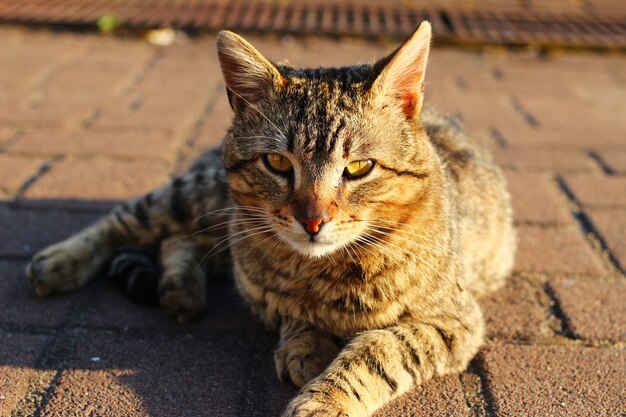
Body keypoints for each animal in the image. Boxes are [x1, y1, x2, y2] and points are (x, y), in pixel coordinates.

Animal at [25, 22, 512, 416]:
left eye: (358, 168)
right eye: (277, 162)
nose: (312, 220)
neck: (326, 270)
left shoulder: (454, 321)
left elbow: (379, 350)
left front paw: (325, 397)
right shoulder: (263, 291)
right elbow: (293, 312)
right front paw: (307, 345)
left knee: (179, 242)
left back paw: (181, 289)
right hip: (198, 197)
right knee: (132, 222)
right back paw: (62, 263)